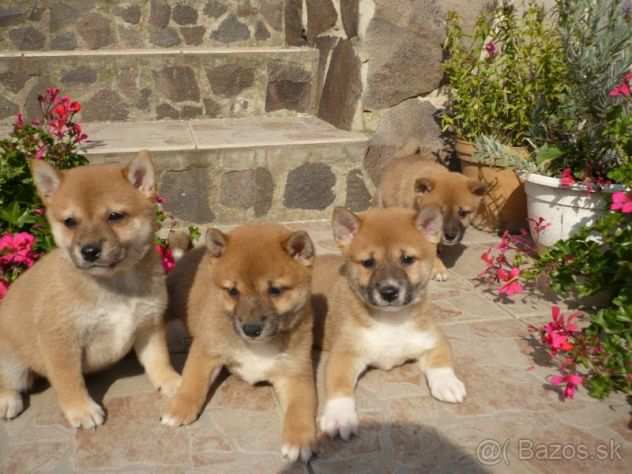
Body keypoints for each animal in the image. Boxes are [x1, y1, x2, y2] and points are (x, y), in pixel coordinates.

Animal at [163, 223, 318, 462]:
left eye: (275, 290)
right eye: (233, 291)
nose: (251, 329)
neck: (257, 347)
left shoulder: (296, 373)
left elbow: (300, 408)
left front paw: (299, 441)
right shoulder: (206, 351)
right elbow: (192, 383)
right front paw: (179, 409)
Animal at [314, 207, 466, 440]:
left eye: (407, 259)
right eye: (368, 263)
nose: (389, 292)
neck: (392, 320)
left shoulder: (434, 339)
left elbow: (442, 362)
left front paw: (447, 383)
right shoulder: (344, 355)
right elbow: (339, 387)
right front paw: (340, 417)